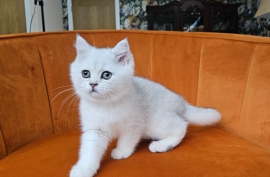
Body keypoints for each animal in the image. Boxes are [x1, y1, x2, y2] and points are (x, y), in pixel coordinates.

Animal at [69, 34, 221, 177]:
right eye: (85, 73)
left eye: (106, 75)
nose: (93, 84)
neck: (105, 105)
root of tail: (181, 102)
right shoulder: (95, 129)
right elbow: (90, 149)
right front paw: (83, 169)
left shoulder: (134, 124)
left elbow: (127, 139)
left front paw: (122, 150)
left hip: (157, 123)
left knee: (181, 126)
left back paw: (161, 145)